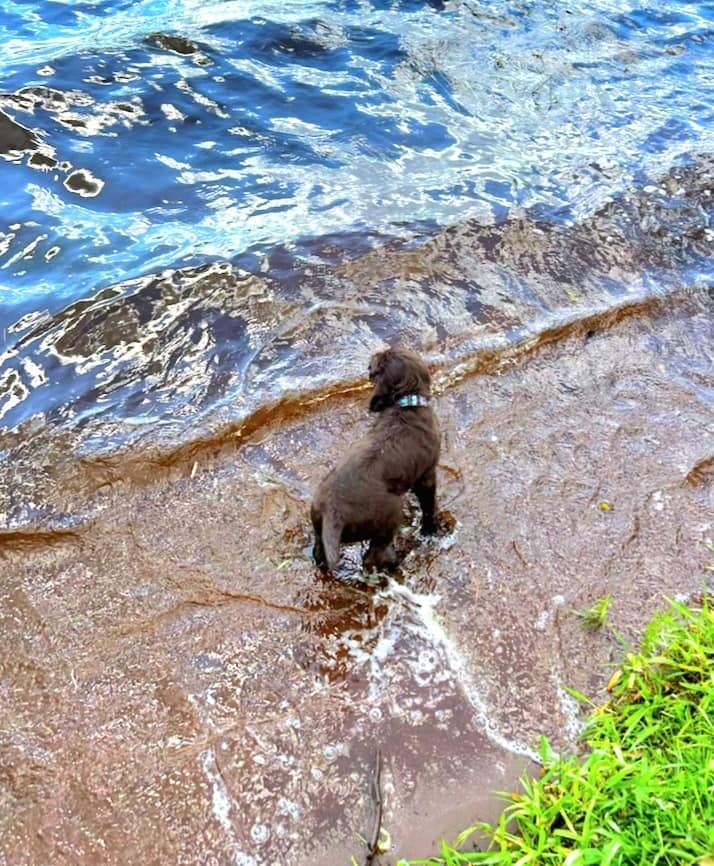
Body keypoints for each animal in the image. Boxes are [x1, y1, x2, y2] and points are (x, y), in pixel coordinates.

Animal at [311, 348, 440, 574]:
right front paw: (430, 529)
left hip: (318, 524)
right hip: (389, 514)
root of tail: (333, 513)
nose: (368, 364)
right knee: (375, 555)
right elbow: (428, 505)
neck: (406, 405)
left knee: (319, 552)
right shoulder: (427, 474)